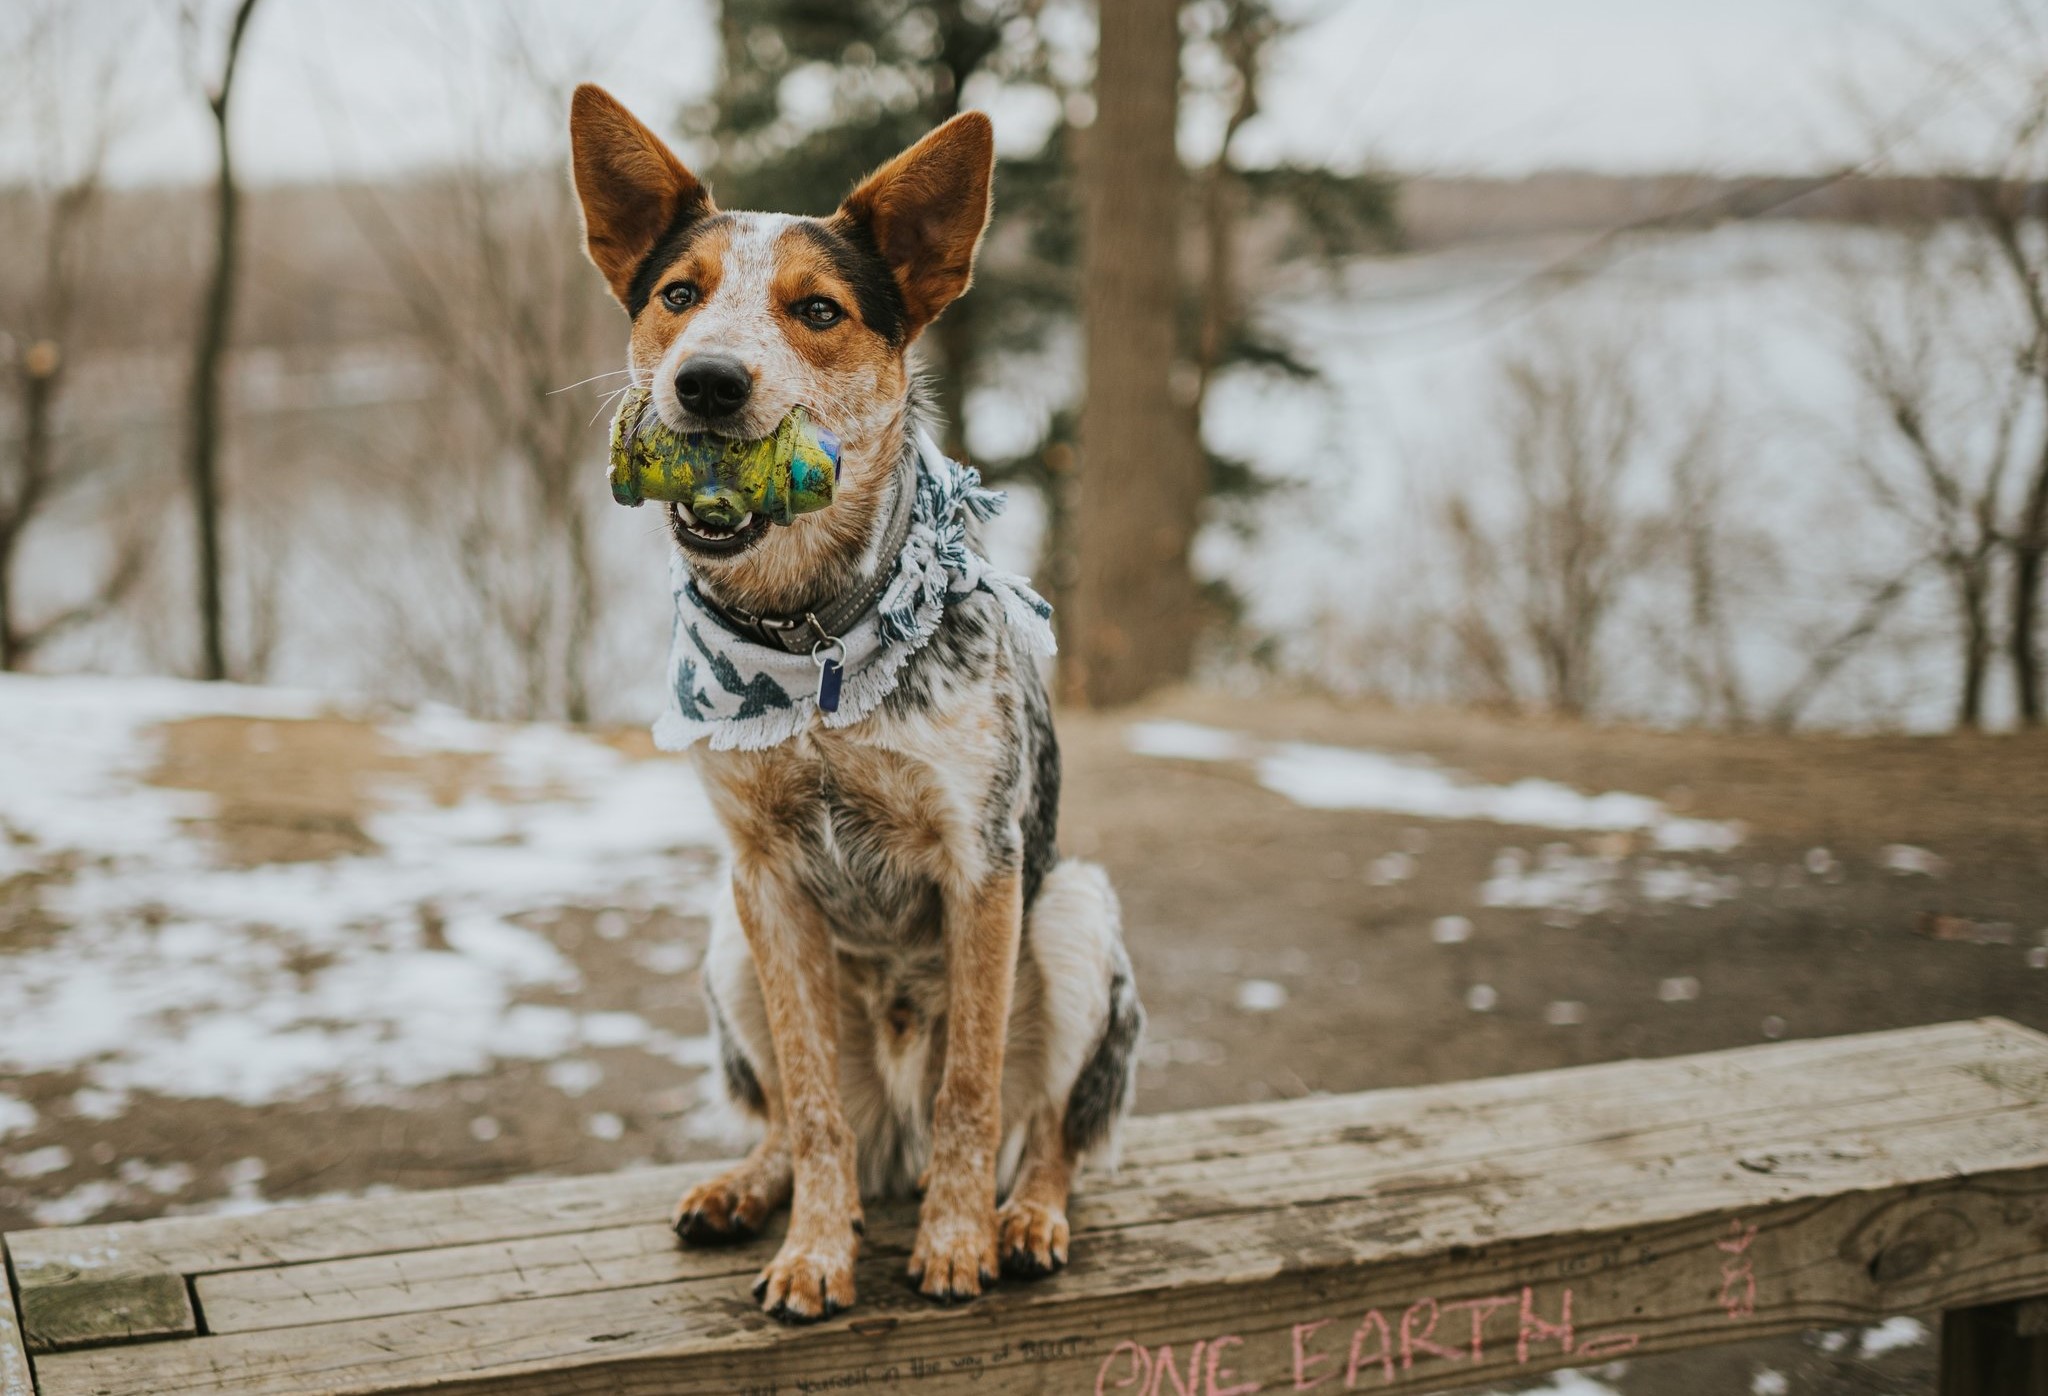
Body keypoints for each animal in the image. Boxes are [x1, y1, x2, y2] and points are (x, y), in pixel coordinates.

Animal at [569, 81, 1146, 1318]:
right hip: (725, 940)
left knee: (1050, 1128)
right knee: (798, 1118)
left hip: (1075, 911)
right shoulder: (764, 878)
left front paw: (955, 1243)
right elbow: (810, 1099)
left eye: (818, 310)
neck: (810, 642)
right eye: (680, 297)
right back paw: (752, 1185)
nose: (707, 381)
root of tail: (897, 1152)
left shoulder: (984, 863)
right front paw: (813, 1251)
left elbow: (973, 1085)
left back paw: (1022, 1215)